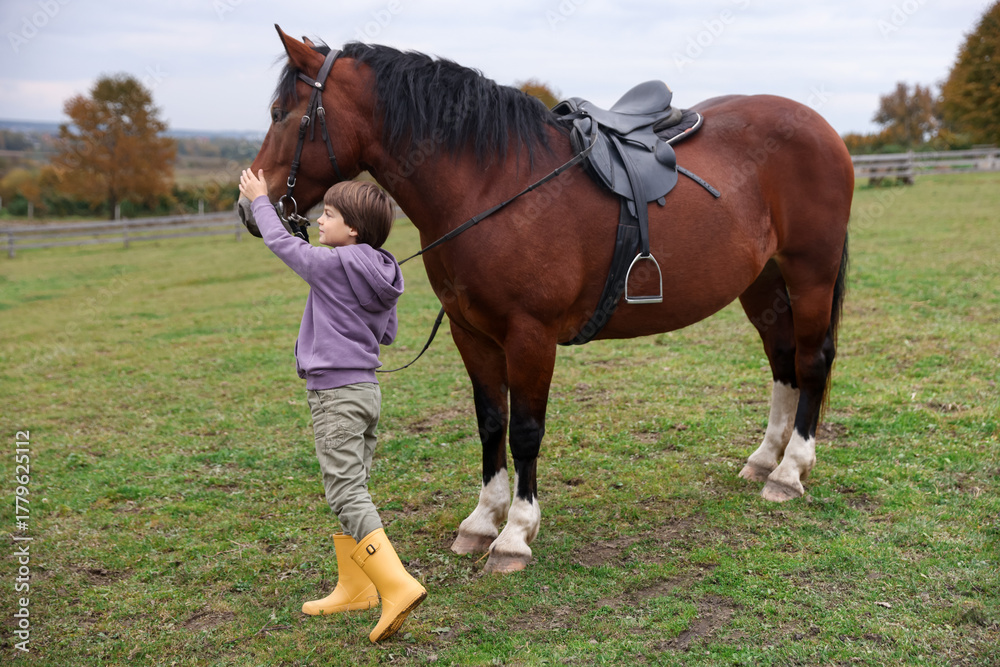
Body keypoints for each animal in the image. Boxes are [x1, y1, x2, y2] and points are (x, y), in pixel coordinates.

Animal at [238, 27, 852, 574]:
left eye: (281, 114)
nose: (249, 209)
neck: (491, 183)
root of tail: (821, 127)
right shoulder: (471, 333)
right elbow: (491, 423)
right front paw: (481, 521)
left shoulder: (529, 335)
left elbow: (526, 431)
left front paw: (514, 535)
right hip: (763, 283)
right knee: (783, 362)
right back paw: (765, 460)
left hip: (810, 274)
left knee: (811, 361)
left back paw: (790, 471)